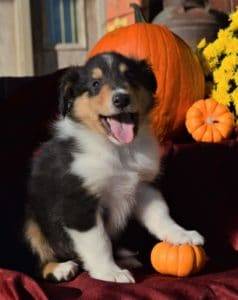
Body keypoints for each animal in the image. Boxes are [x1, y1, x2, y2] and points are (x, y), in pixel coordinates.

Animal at [24, 52, 204, 284]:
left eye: (130, 76)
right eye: (95, 83)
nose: (121, 99)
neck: (118, 150)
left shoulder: (143, 186)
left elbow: (161, 214)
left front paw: (182, 235)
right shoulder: (79, 202)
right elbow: (99, 241)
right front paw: (111, 272)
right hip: (30, 221)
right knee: (36, 259)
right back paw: (60, 268)